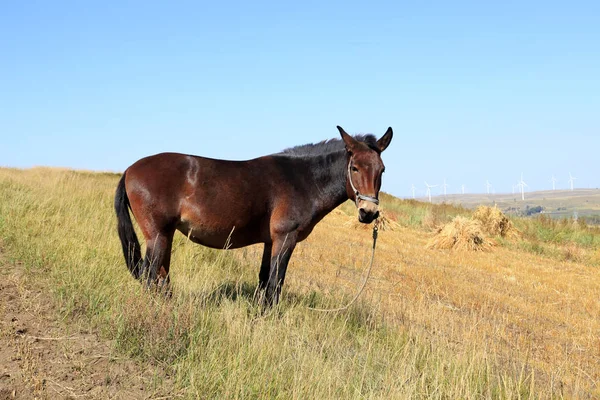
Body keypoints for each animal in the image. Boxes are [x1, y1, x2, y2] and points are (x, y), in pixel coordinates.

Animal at [114, 126, 392, 304]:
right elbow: (275, 282)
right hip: (157, 235)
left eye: (382, 169)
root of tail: (130, 169)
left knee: (161, 276)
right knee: (150, 275)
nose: (368, 213)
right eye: (355, 168)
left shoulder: (270, 242)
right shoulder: (285, 238)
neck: (301, 179)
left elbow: (264, 281)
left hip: (166, 235)